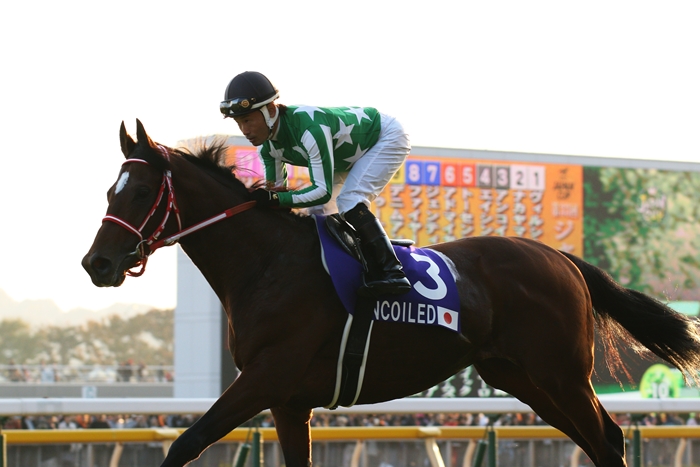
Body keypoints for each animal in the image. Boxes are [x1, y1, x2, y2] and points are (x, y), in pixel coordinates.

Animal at [83, 120, 700, 467]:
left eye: (140, 190)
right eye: (111, 189)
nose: (97, 263)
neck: (266, 264)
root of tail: (561, 257)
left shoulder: (267, 376)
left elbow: (185, 444)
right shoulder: (288, 399)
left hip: (562, 373)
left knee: (608, 441)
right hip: (521, 376)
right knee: (598, 442)